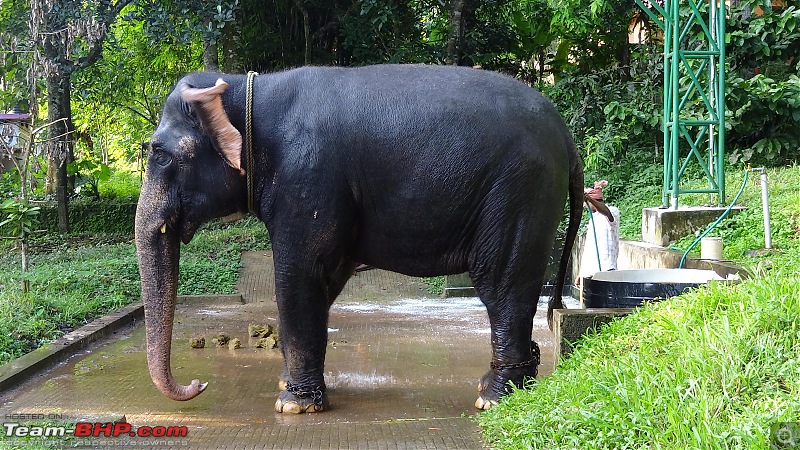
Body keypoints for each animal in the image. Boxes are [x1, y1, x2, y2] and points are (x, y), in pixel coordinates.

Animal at [136, 64, 580, 414]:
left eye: (159, 154)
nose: (198, 385)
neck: (246, 88)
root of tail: (566, 134)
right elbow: (326, 279)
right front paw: (288, 386)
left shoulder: (308, 179)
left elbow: (298, 275)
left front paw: (293, 405)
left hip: (520, 190)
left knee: (502, 283)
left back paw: (493, 397)